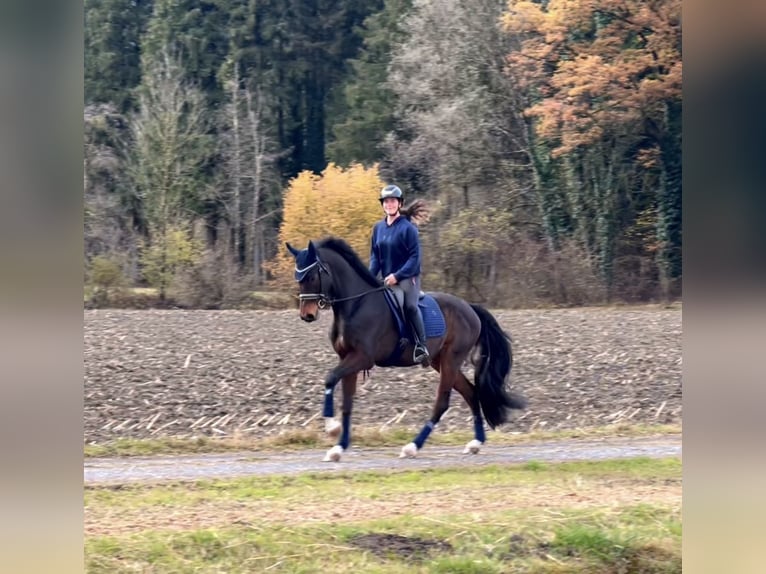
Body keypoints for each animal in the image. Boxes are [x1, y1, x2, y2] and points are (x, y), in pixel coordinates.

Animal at [288, 237, 528, 464]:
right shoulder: (348, 359)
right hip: (440, 362)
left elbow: (329, 378)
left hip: (451, 360)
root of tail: (470, 308)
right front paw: (338, 448)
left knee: (442, 403)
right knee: (471, 392)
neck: (356, 305)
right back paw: (475, 443)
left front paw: (331, 428)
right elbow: (347, 403)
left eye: (311, 277)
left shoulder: (361, 358)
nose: (307, 315)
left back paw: (412, 447)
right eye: (297, 278)